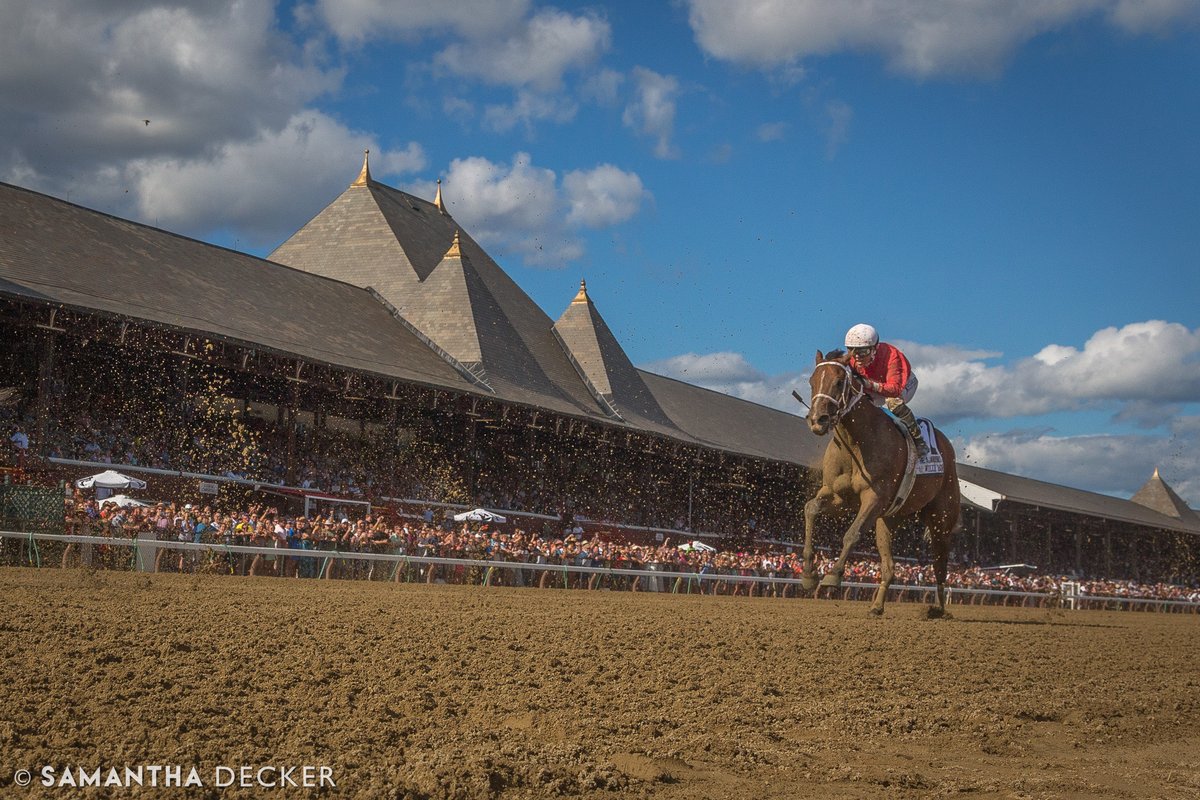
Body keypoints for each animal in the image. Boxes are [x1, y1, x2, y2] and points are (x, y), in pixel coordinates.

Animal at [801, 347, 960, 618]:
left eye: (839, 381)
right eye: (812, 382)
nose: (817, 420)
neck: (856, 441)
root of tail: (947, 447)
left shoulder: (873, 498)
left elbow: (852, 534)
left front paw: (833, 576)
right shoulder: (836, 494)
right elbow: (810, 509)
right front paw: (809, 574)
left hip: (942, 518)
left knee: (940, 563)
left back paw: (939, 609)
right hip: (888, 519)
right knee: (889, 566)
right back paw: (877, 605)